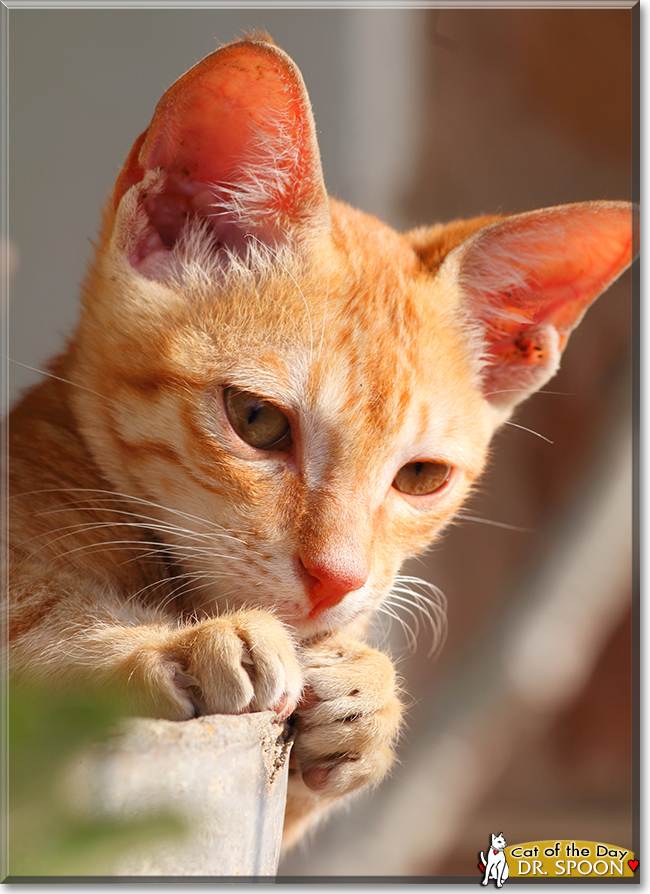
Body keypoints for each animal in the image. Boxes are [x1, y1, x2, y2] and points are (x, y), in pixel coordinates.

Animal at [5, 31, 632, 852]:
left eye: (421, 476)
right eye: (257, 421)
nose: (338, 579)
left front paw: (369, 701)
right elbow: (28, 623)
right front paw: (170, 645)